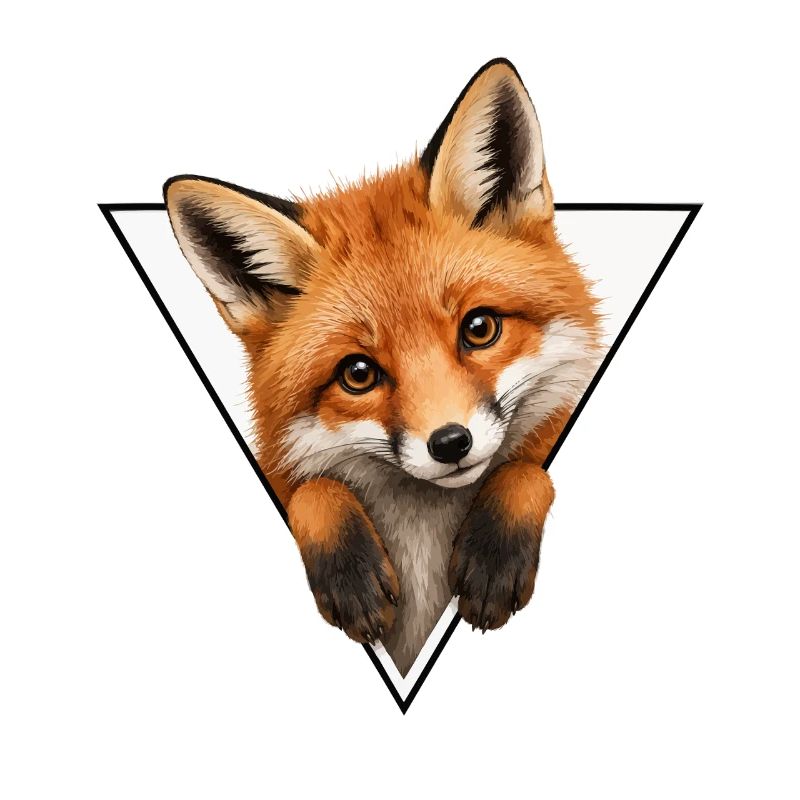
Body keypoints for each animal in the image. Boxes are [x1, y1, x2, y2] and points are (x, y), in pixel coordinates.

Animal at [164, 58, 602, 676]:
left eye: (479, 328)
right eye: (358, 373)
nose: (450, 443)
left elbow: (527, 470)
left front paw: (495, 551)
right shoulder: (283, 470)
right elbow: (311, 491)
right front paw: (349, 571)